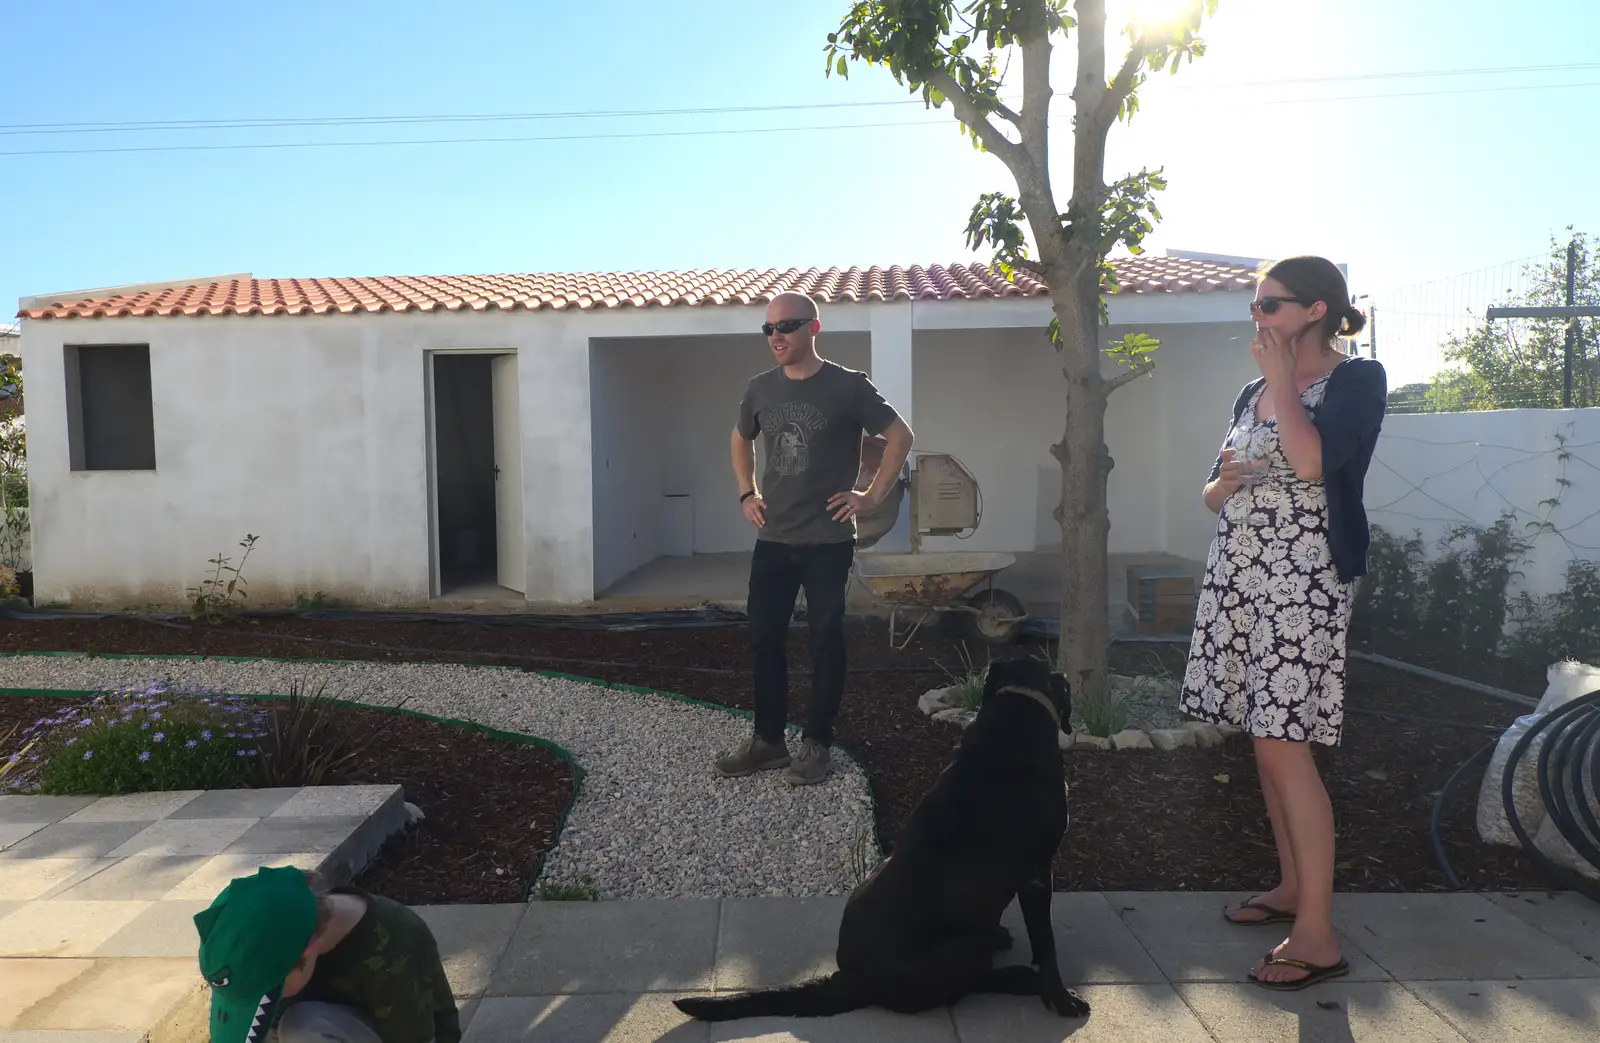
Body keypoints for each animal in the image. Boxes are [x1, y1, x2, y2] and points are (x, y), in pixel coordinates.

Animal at [668, 655, 1094, 1023]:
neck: (1015, 711)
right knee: (964, 986)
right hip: (962, 945)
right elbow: (1047, 945)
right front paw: (1059, 997)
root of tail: (850, 980)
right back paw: (1018, 975)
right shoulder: (1037, 873)